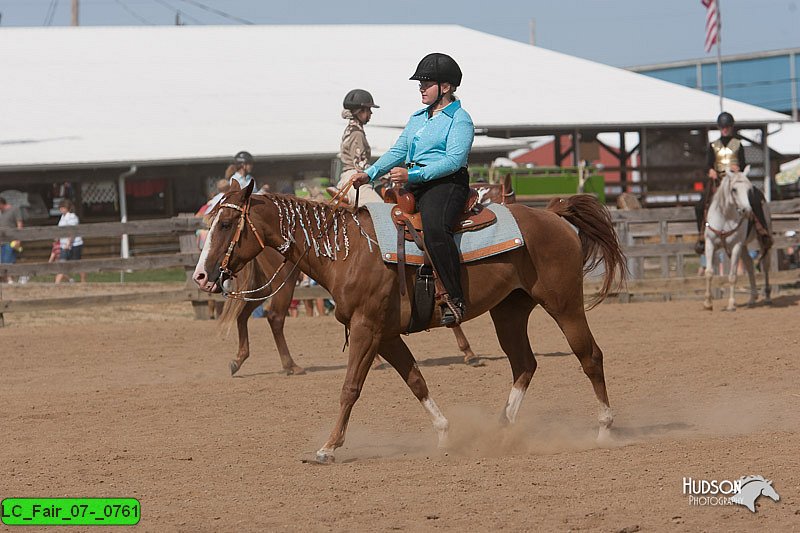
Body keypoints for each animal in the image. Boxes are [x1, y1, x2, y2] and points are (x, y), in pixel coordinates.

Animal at [194, 180, 624, 462]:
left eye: (227, 225)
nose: (201, 275)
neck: (349, 251)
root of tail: (550, 216)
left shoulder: (367, 329)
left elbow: (350, 388)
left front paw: (328, 447)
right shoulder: (385, 335)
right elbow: (416, 380)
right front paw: (445, 435)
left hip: (564, 304)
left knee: (590, 357)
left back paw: (604, 429)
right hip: (509, 311)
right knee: (524, 364)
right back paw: (501, 431)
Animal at [704, 164, 772, 310]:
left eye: (749, 189)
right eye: (734, 189)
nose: (747, 211)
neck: (725, 217)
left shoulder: (736, 246)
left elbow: (732, 276)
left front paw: (731, 304)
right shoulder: (710, 243)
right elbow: (709, 272)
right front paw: (707, 303)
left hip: (762, 239)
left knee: (765, 265)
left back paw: (768, 297)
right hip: (744, 246)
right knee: (750, 265)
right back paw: (752, 299)